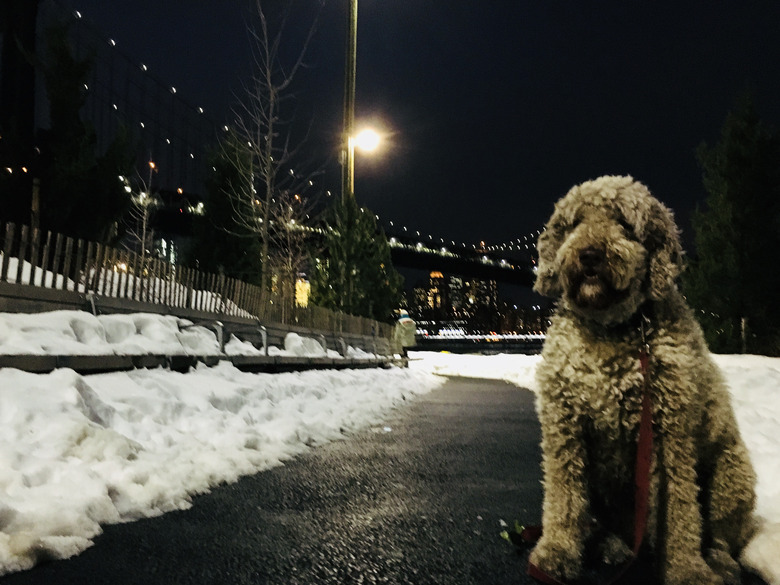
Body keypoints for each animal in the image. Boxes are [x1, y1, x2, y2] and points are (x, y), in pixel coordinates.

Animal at [532, 175, 756, 584]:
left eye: (623, 222)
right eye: (574, 223)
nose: (589, 255)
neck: (612, 330)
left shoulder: (670, 432)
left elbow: (680, 510)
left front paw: (686, 569)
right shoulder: (564, 427)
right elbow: (564, 496)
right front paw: (556, 551)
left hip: (732, 475)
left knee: (717, 532)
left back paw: (717, 560)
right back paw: (613, 546)